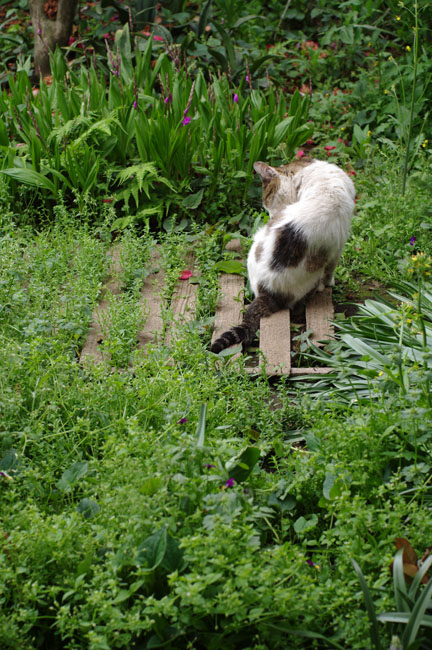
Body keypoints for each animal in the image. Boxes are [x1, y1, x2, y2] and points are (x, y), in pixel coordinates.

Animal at [209, 158, 354, 354]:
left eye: (268, 202)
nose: (271, 216)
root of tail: (266, 291)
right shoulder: (338, 245)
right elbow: (331, 270)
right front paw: (330, 283)